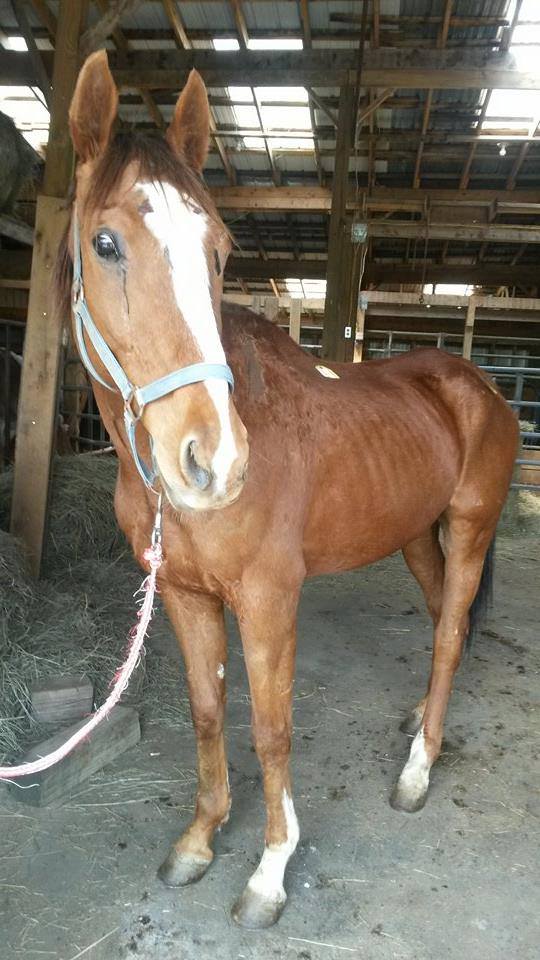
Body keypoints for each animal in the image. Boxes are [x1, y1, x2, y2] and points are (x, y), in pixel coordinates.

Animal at [57, 50, 519, 929]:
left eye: (220, 248)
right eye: (104, 243)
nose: (213, 460)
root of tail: (477, 383)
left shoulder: (269, 598)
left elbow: (272, 728)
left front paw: (271, 867)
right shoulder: (184, 594)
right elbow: (207, 710)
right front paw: (201, 839)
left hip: (472, 526)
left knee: (449, 635)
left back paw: (418, 767)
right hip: (418, 534)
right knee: (443, 618)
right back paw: (421, 720)